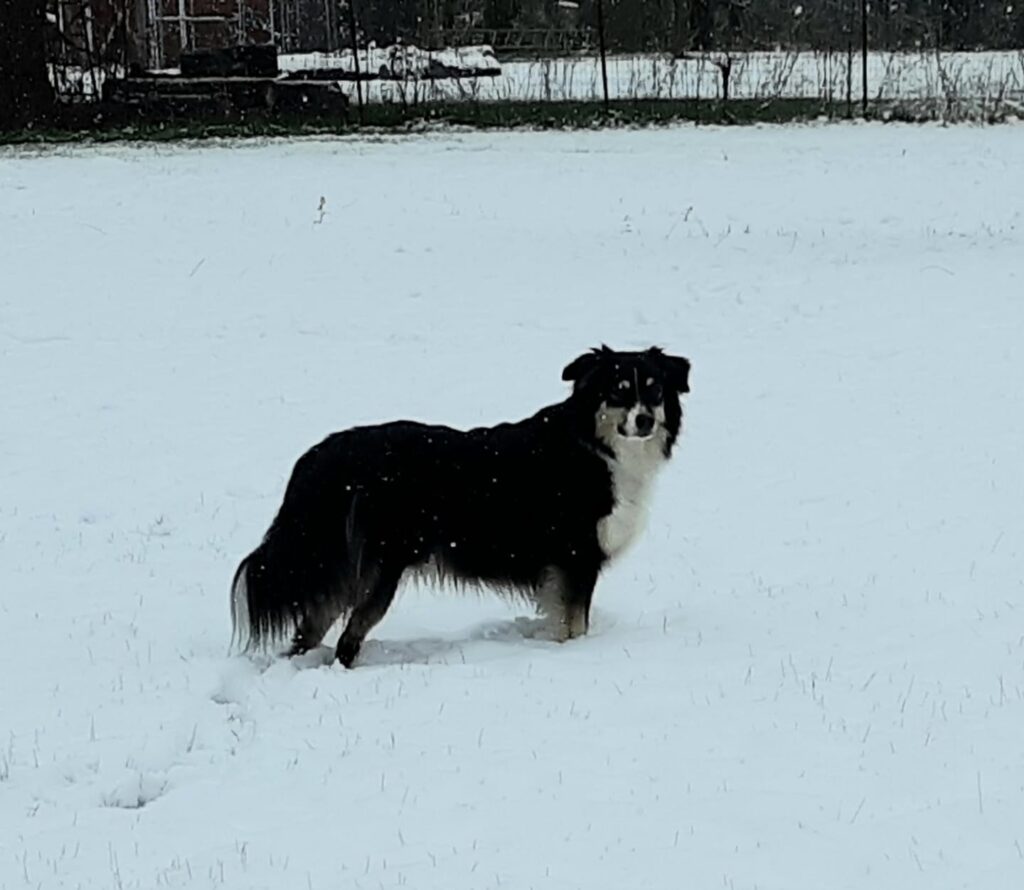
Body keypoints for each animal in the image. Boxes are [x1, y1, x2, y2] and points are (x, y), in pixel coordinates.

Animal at [234, 348, 688, 667]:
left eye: (654, 389)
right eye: (618, 391)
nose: (645, 420)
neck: (593, 445)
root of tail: (330, 452)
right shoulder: (576, 559)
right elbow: (574, 625)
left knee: (309, 631)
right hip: (380, 569)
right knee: (347, 638)